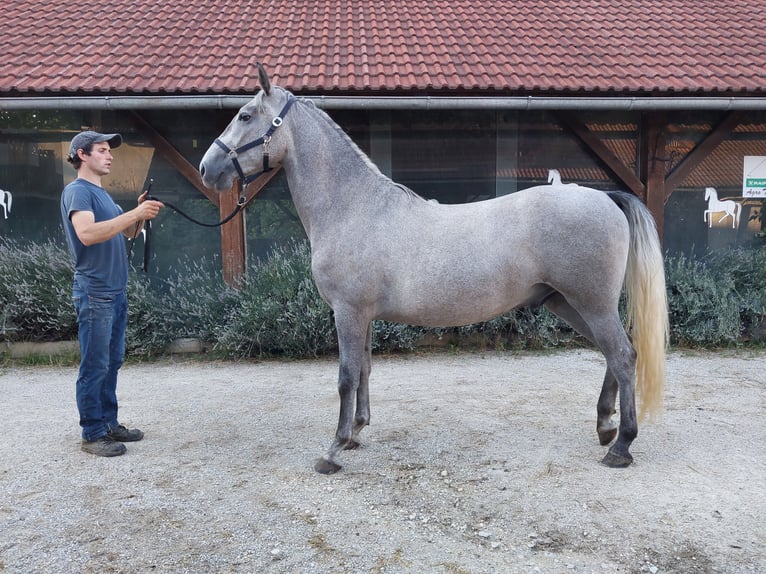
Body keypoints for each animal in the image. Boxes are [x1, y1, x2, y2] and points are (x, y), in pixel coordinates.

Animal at [200, 64, 672, 476]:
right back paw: (606, 427)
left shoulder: (348, 313)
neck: (353, 207)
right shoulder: (362, 316)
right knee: (615, 354)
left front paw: (333, 450)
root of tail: (605, 197)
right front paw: (357, 432)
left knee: (623, 356)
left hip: (591, 304)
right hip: (570, 304)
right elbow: (365, 369)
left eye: (244, 115)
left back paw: (622, 445)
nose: (207, 168)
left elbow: (346, 377)